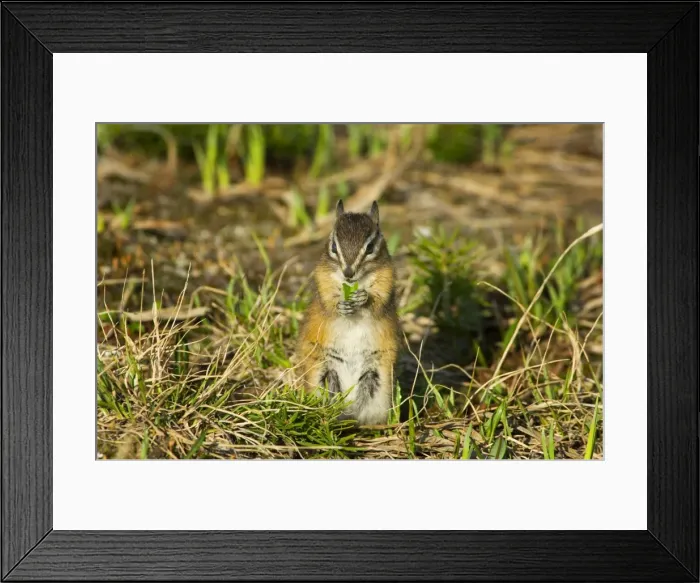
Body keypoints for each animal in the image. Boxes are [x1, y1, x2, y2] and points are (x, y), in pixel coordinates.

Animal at [295, 199, 400, 426]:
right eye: (334, 246)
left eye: (370, 247)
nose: (348, 273)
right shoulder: (322, 279)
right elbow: (328, 302)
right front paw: (341, 306)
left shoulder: (387, 281)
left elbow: (378, 302)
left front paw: (364, 298)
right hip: (323, 375)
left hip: (375, 379)